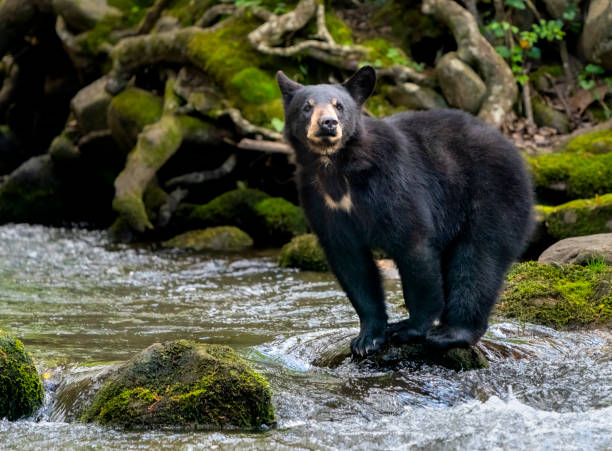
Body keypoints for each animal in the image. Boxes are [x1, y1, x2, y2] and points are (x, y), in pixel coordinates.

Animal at [276, 67, 532, 356]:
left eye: (339, 105)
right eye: (307, 107)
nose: (328, 123)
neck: (336, 167)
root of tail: (516, 152)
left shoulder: (392, 183)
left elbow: (413, 245)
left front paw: (410, 329)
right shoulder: (321, 202)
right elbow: (352, 264)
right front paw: (367, 338)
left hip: (491, 195)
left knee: (478, 259)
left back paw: (451, 333)